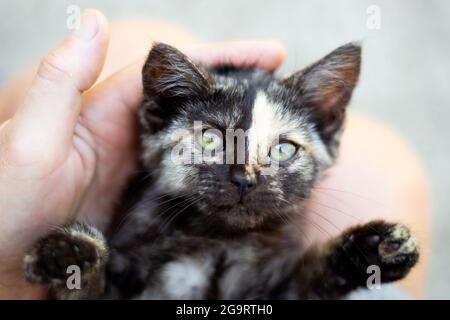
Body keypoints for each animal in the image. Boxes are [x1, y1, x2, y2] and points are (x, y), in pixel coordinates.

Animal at [23, 42, 418, 300]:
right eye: (211, 139)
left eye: (283, 149)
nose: (245, 179)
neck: (220, 241)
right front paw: (70, 256)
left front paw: (375, 248)